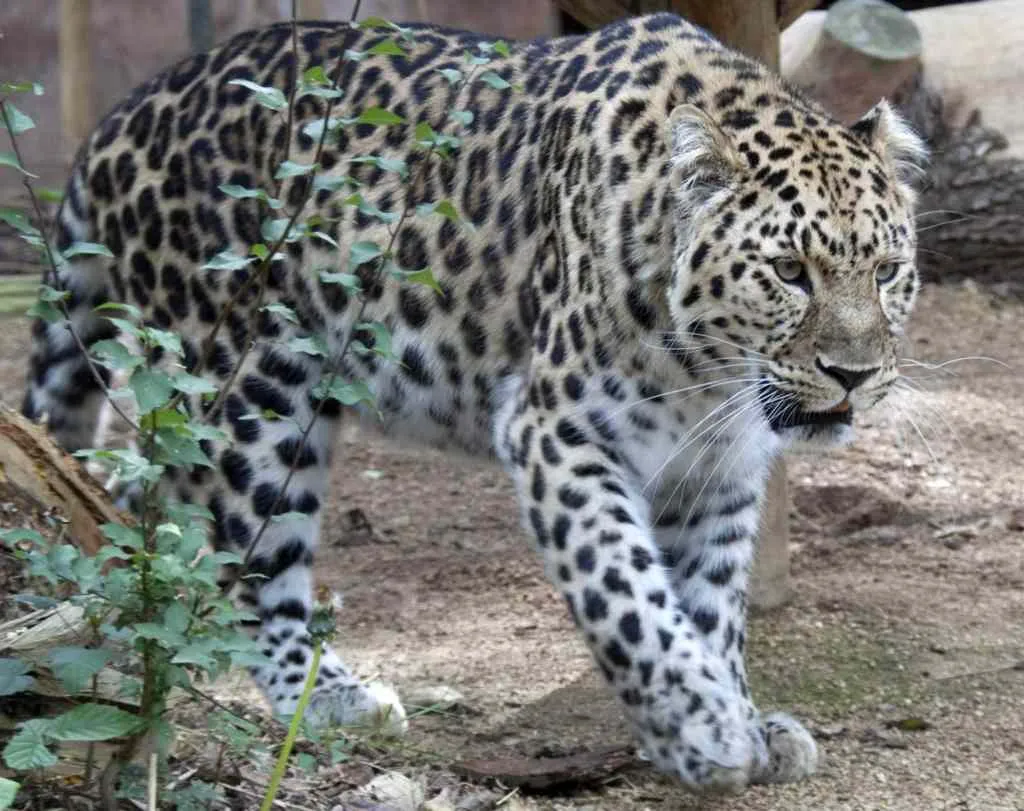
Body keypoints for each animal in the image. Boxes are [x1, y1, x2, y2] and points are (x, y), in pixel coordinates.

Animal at [21, 12, 926, 793]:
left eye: (886, 272)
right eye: (790, 272)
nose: (853, 373)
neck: (711, 375)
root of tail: (125, 112)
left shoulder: (717, 470)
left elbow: (708, 603)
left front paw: (734, 715)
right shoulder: (556, 431)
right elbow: (629, 593)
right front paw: (703, 722)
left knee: (135, 502)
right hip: (251, 388)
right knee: (246, 561)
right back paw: (330, 698)